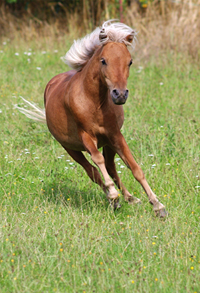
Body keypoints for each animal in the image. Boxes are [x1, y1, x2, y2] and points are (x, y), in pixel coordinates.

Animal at [16, 20, 167, 217]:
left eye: (130, 62)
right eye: (103, 60)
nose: (120, 95)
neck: (95, 102)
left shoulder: (115, 135)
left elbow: (135, 168)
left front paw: (158, 206)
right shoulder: (86, 136)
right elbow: (98, 161)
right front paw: (113, 195)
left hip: (108, 144)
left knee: (111, 167)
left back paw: (130, 198)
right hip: (70, 148)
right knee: (93, 171)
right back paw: (114, 199)